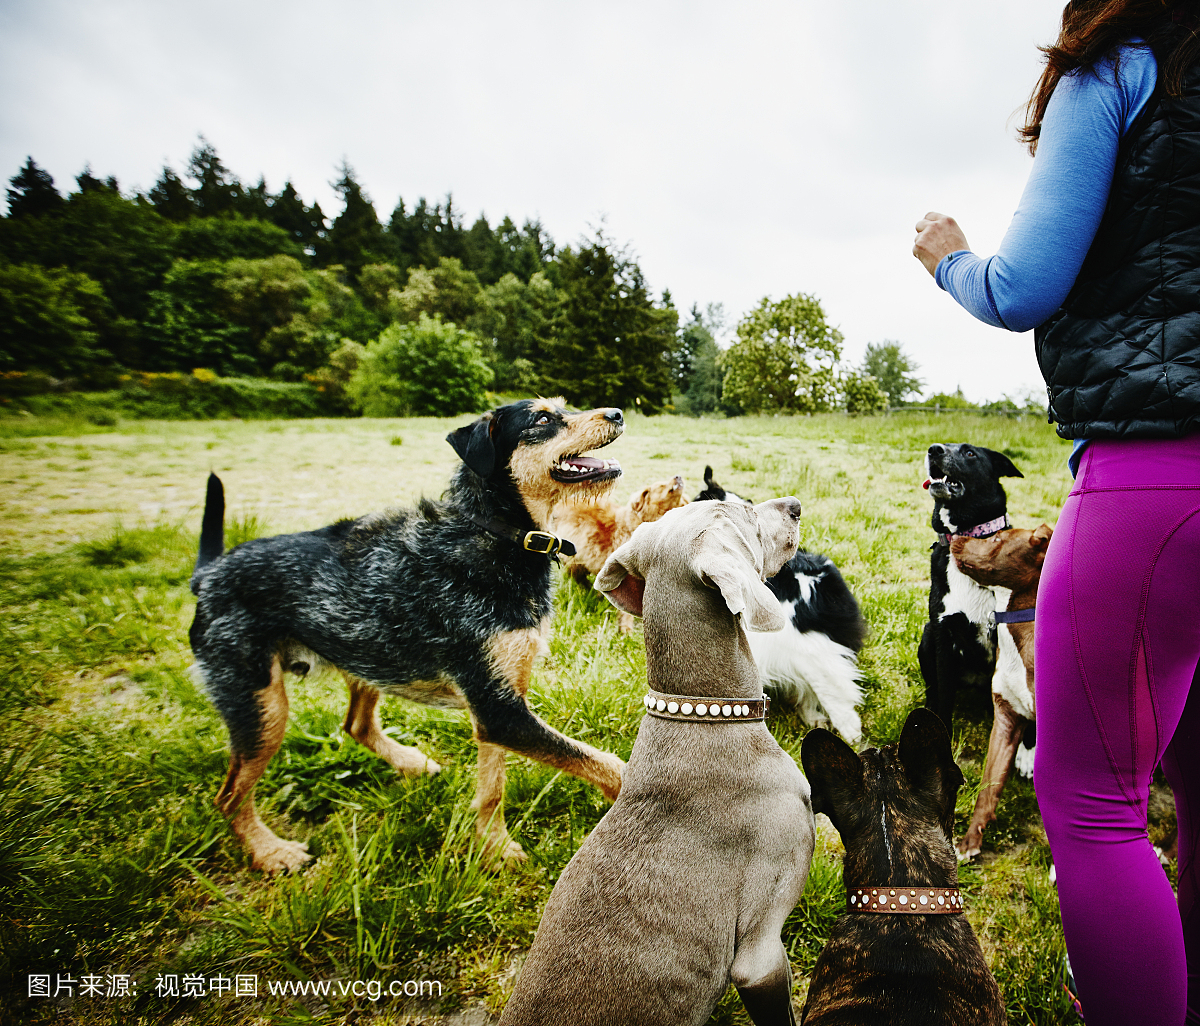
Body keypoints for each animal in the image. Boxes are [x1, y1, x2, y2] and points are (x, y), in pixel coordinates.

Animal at [187, 398, 628, 868]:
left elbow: (493, 787)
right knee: (229, 797)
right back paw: (270, 852)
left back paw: (409, 763)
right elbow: (608, 765)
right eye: (542, 419)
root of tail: (208, 575)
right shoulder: (499, 711)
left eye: (566, 407)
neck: (497, 532)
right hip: (261, 706)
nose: (618, 413)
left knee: (356, 725)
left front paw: (493, 846)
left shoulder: (499, 703)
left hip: (368, 655)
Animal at [916, 441, 1022, 729]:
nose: (933, 450)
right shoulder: (942, 635)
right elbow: (944, 694)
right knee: (933, 688)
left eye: (970, 453)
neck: (964, 540)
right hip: (927, 636)